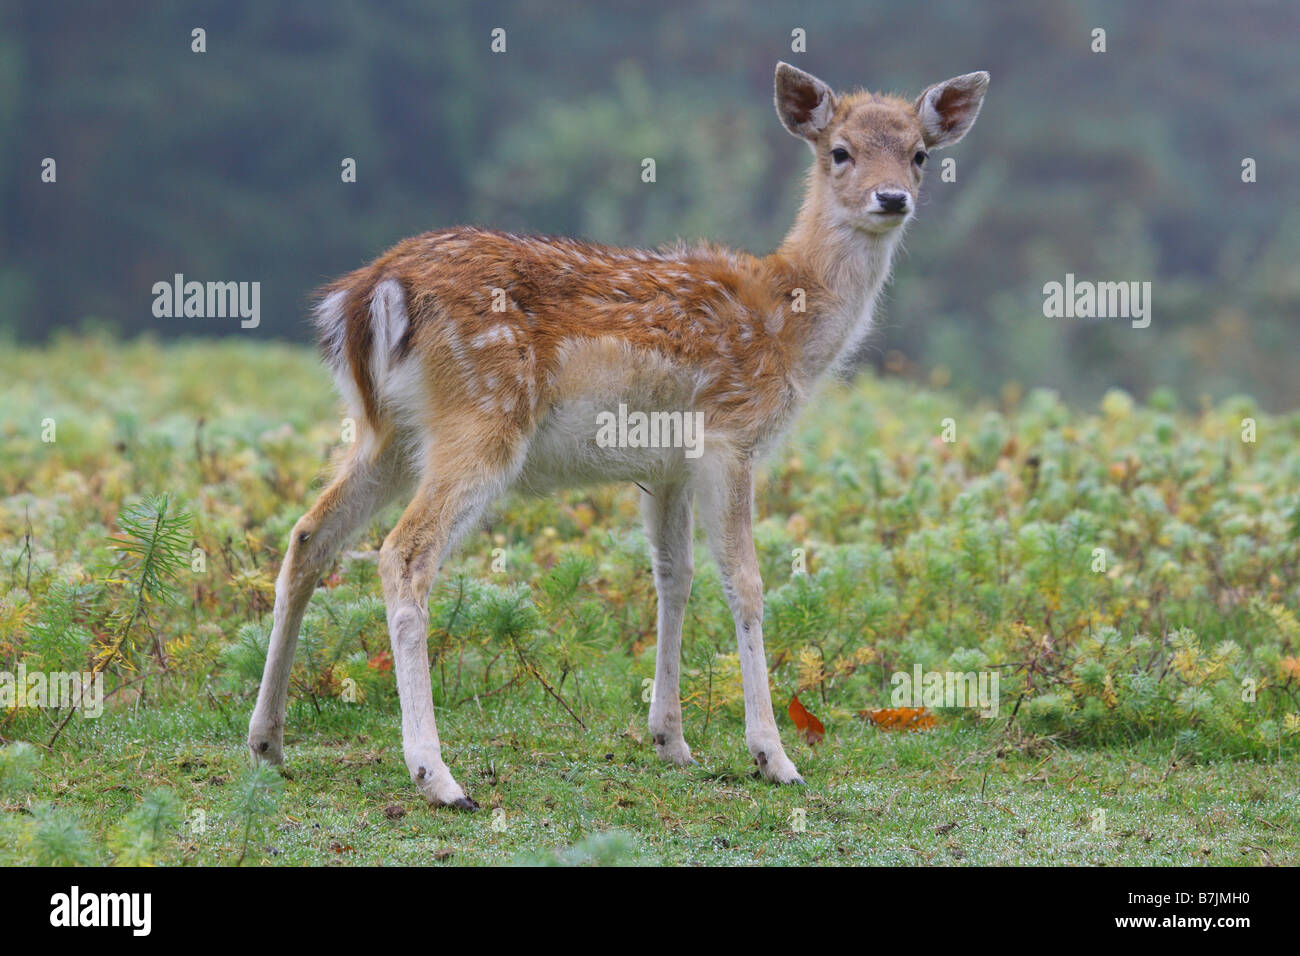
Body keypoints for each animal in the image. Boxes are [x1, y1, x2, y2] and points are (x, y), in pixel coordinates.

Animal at [248, 63, 987, 806]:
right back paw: (437, 774)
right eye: (840, 151)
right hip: (483, 413)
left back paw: (267, 741)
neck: (789, 325)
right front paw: (773, 756)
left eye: (920, 154)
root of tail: (367, 295)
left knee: (308, 535)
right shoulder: (731, 434)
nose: (891, 197)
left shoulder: (666, 466)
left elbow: (674, 576)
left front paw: (671, 741)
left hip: (387, 434)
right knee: (403, 553)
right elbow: (744, 581)